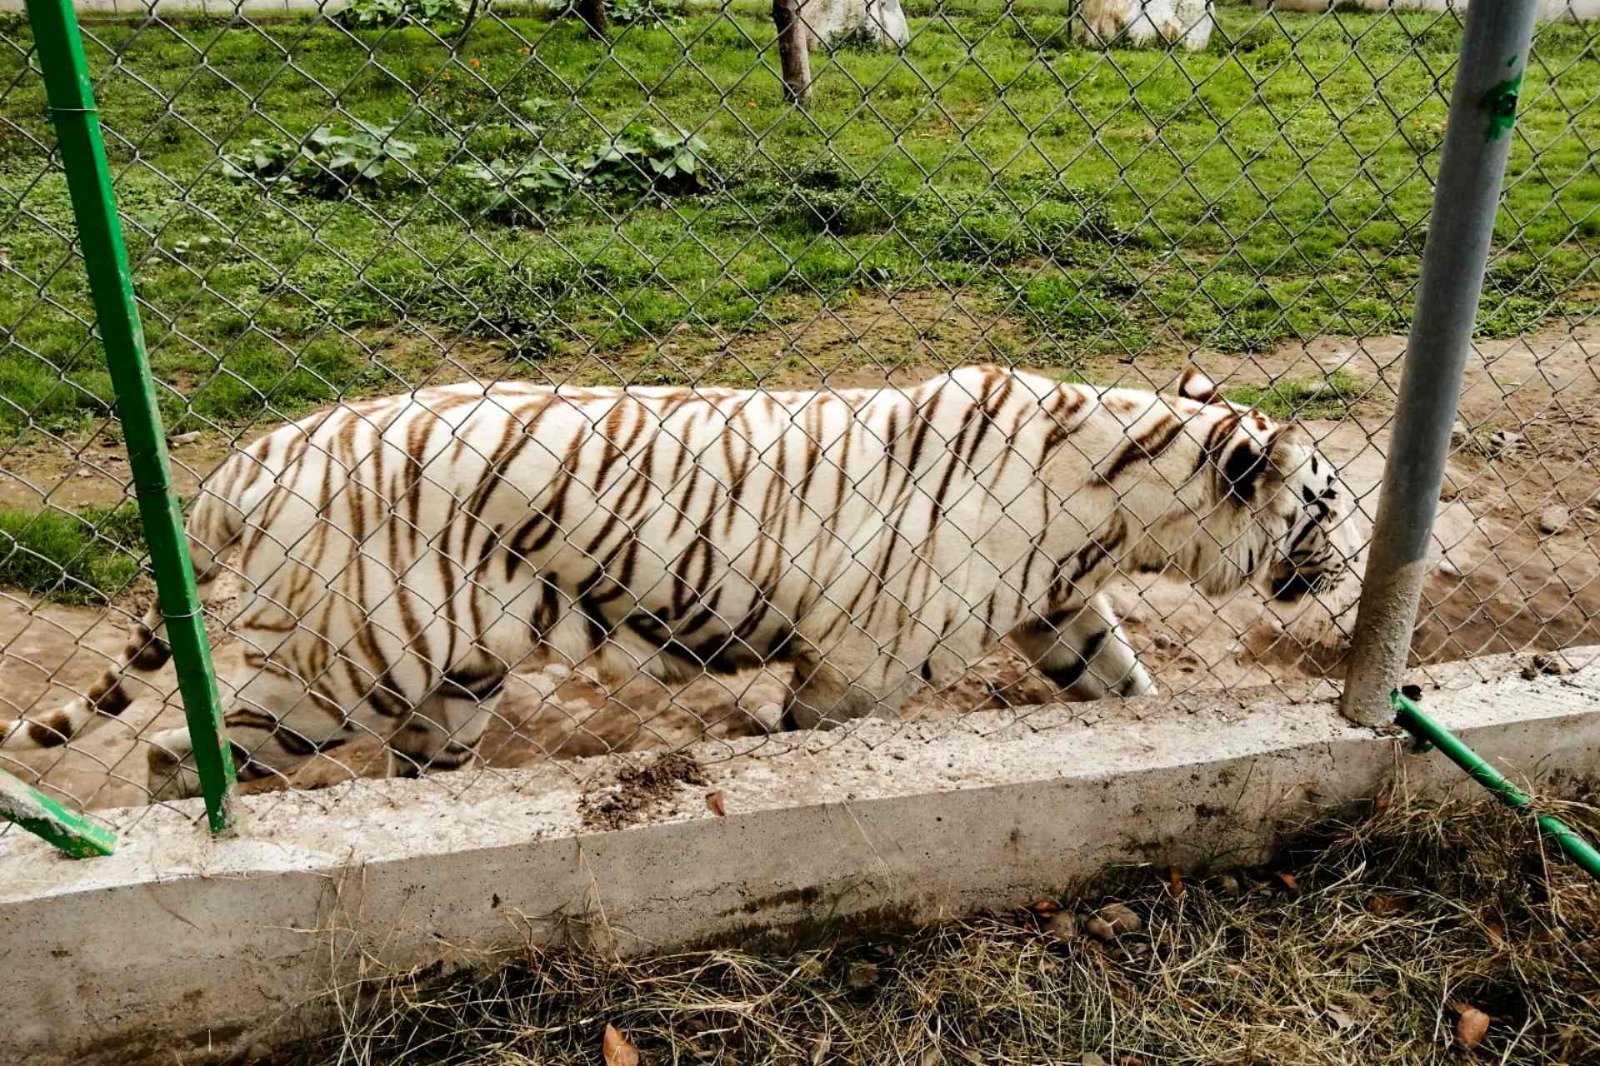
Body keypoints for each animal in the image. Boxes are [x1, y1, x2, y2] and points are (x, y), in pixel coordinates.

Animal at [0, 365, 1356, 800]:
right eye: (1332, 501)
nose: (1350, 562)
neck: (1118, 501)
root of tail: (256, 452)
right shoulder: (859, 664)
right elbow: (813, 738)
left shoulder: (1058, 607)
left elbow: (1121, 689)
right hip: (342, 663)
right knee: (178, 754)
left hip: (452, 677)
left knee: (413, 766)